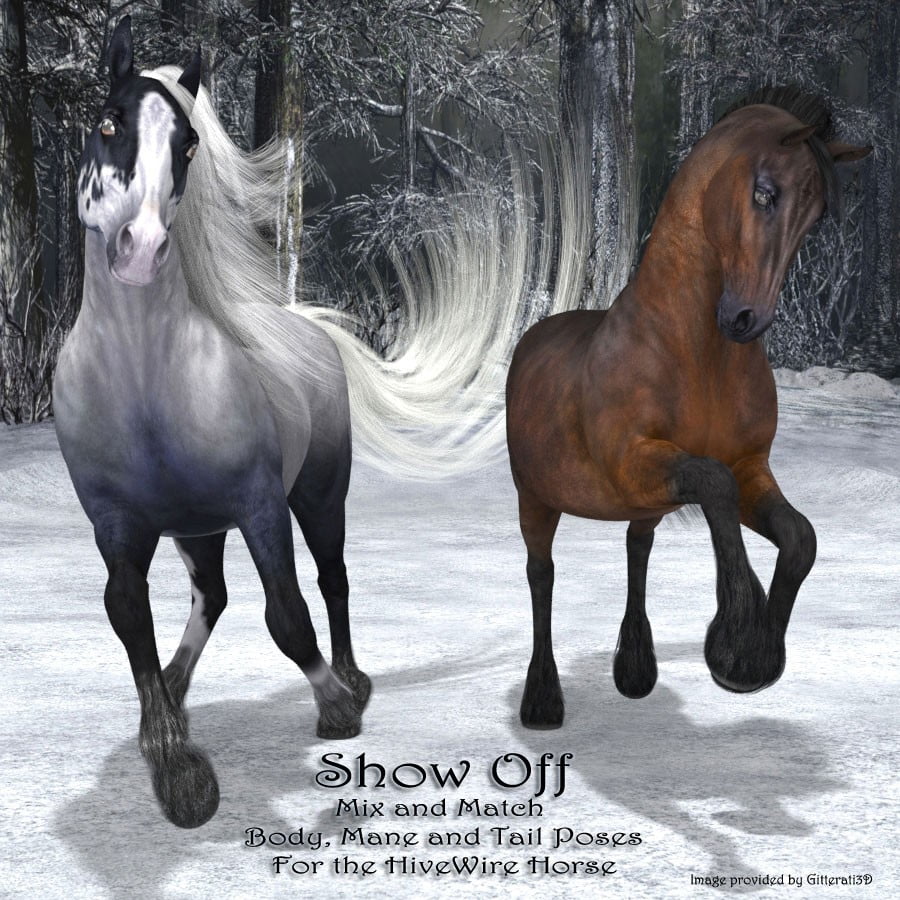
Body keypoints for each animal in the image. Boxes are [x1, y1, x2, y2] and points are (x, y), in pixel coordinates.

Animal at [506, 87, 870, 729]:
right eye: (765, 192)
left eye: (817, 216)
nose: (747, 319)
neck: (696, 355)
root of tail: (535, 335)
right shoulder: (635, 462)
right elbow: (716, 484)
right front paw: (736, 645)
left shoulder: (750, 469)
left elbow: (798, 534)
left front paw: (757, 655)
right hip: (538, 497)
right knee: (541, 575)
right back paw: (543, 702)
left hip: (644, 499)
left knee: (638, 547)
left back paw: (634, 672)